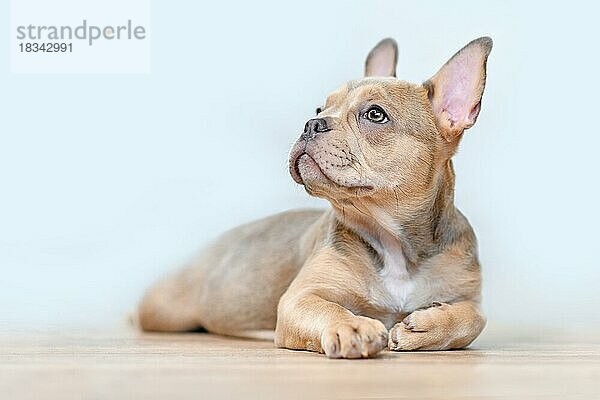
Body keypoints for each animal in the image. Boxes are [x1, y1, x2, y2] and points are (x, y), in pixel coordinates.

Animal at [139, 36, 492, 358]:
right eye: (319, 109)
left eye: (375, 115)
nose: (311, 123)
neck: (394, 243)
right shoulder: (301, 297)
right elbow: (329, 308)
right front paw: (353, 326)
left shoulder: (466, 291)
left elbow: (475, 318)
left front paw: (430, 325)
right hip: (164, 310)